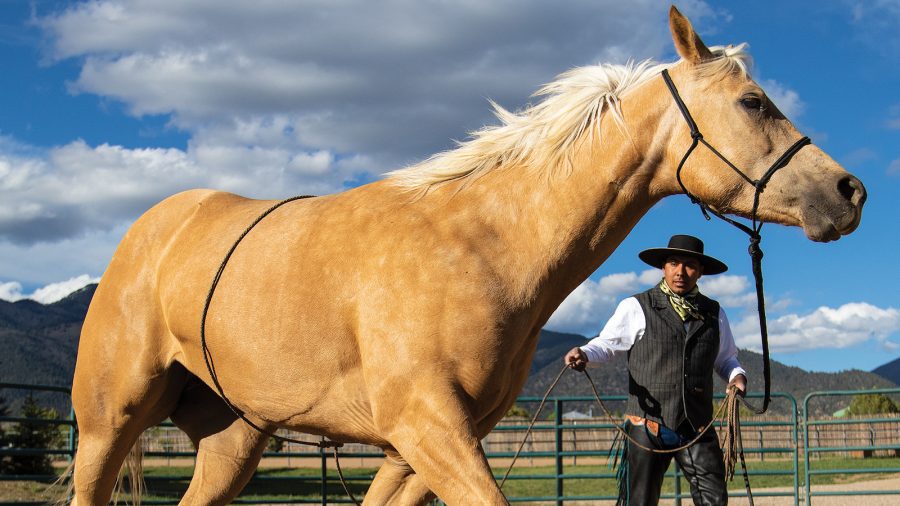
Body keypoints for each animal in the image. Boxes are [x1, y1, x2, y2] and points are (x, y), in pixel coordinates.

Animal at [69, 6, 866, 505]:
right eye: (755, 102)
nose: (848, 191)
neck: (482, 246)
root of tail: (149, 231)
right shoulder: (428, 429)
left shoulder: (425, 445)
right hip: (107, 425)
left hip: (233, 440)